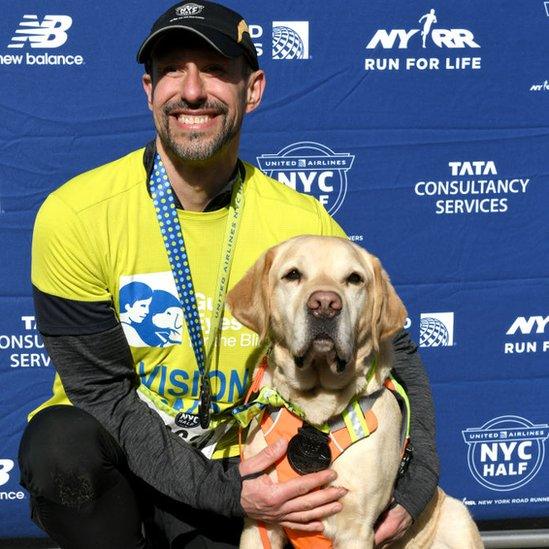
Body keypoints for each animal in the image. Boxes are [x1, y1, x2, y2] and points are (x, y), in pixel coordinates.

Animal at [225, 235, 482, 548]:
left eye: (354, 279)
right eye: (293, 274)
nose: (325, 304)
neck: (316, 411)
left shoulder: (356, 529)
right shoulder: (261, 519)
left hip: (457, 518)